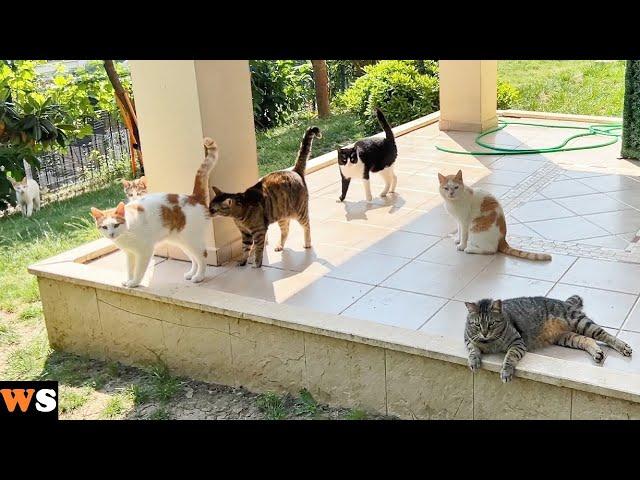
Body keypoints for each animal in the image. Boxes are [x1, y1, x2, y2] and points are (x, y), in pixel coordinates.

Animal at [90, 139, 220, 288]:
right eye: (104, 227)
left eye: (116, 225)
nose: (111, 234)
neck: (126, 231)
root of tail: (193, 197)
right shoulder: (129, 254)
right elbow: (129, 269)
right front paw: (128, 280)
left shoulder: (144, 251)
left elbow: (139, 270)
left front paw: (134, 283)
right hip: (182, 241)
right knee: (194, 259)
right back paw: (192, 273)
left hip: (192, 239)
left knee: (202, 256)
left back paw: (199, 277)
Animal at [462, 296, 632, 382]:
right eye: (477, 325)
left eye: (491, 323)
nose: (484, 333)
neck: (489, 342)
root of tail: (562, 301)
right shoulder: (468, 339)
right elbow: (472, 349)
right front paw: (474, 361)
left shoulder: (517, 342)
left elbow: (509, 357)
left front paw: (506, 371)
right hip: (567, 337)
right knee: (587, 340)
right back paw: (597, 353)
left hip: (580, 322)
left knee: (604, 334)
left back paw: (623, 346)